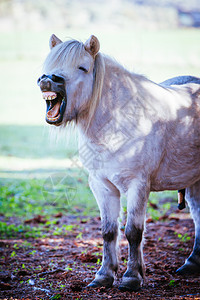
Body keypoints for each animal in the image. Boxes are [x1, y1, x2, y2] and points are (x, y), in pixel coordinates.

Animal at [37, 34, 200, 290]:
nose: (48, 80)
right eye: (49, 64)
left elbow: (133, 232)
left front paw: (132, 277)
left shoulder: (138, 185)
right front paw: (104, 275)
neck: (120, 121)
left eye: (82, 67)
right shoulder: (102, 185)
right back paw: (192, 264)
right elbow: (108, 231)